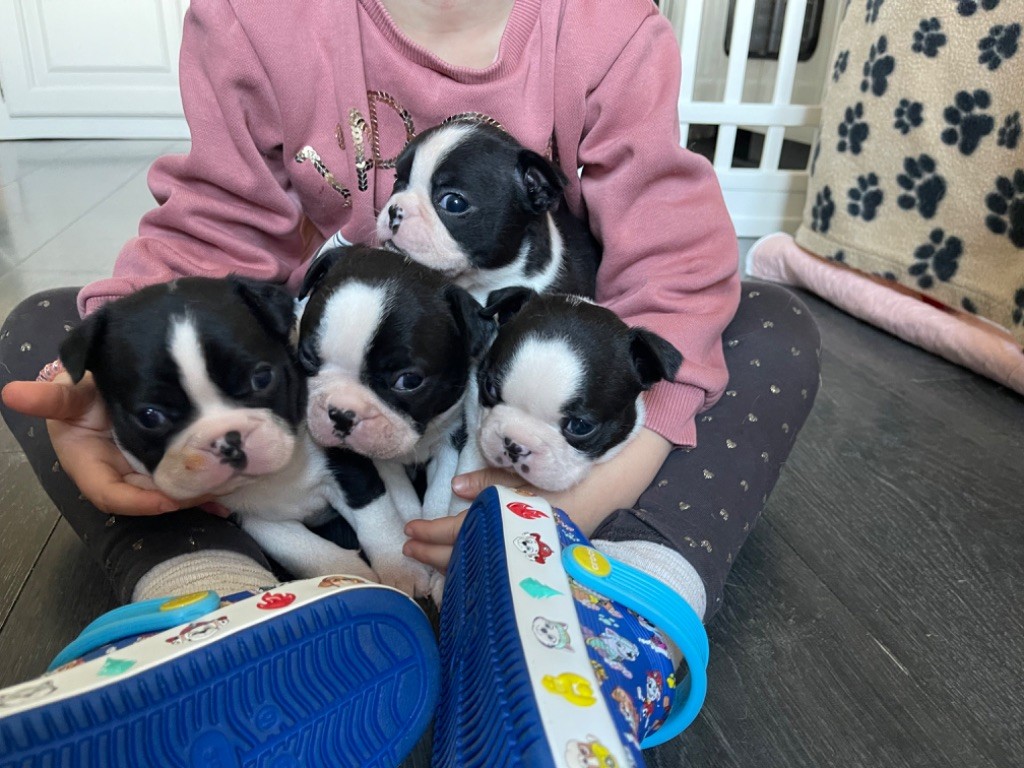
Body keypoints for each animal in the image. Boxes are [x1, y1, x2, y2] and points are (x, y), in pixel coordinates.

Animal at [57, 280, 376, 585]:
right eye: (150, 416)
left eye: (262, 378)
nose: (228, 440)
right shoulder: (250, 517)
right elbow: (304, 548)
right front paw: (354, 576)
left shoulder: (349, 469)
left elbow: (379, 529)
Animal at [296, 246, 491, 593]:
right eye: (306, 357)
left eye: (408, 381)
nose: (341, 413)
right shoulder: (379, 457)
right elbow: (400, 496)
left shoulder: (454, 433)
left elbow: (441, 492)